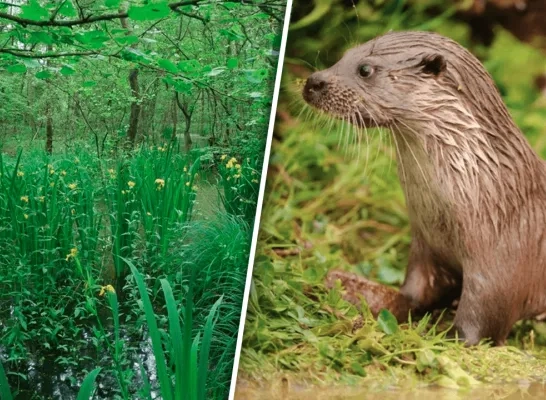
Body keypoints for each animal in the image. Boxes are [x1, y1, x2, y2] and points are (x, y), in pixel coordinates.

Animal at [300, 30, 544, 346]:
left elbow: (481, 323)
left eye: (365, 69)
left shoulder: (501, 267)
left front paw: (443, 335)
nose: (313, 81)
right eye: (343, 56)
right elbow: (414, 294)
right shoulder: (425, 247)